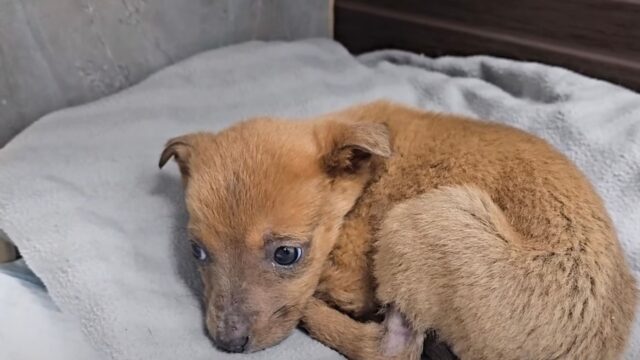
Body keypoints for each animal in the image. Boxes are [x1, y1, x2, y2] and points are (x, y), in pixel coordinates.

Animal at [159, 101, 636, 360]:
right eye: (197, 251)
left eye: (286, 254)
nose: (227, 343)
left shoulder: (353, 278)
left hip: (420, 221)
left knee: (391, 348)